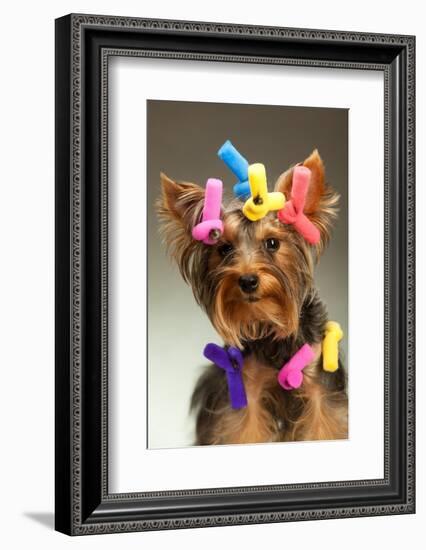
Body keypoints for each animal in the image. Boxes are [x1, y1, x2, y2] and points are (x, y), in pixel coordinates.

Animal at [156, 149, 346, 446]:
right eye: (224, 249)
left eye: (272, 243)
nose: (247, 280)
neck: (270, 322)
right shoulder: (247, 387)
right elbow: (246, 428)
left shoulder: (319, 385)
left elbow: (323, 423)